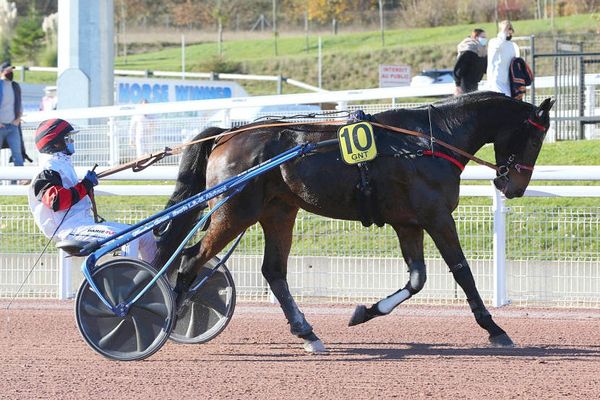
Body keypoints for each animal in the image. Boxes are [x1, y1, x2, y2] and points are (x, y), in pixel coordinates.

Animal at [154, 93, 552, 354]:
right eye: (536, 137)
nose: (513, 187)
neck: (430, 140)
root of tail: (227, 134)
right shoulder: (437, 217)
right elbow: (462, 271)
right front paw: (495, 328)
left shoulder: (408, 223)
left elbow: (417, 280)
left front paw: (365, 312)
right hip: (235, 211)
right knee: (191, 258)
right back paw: (172, 316)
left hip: (278, 211)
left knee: (274, 271)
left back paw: (307, 333)